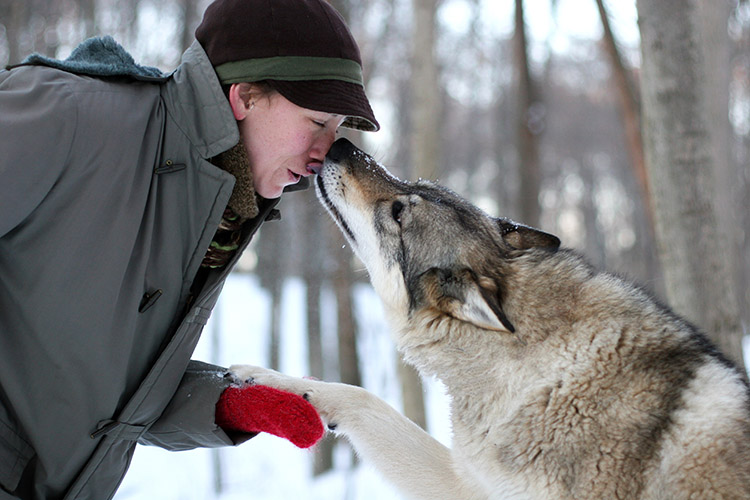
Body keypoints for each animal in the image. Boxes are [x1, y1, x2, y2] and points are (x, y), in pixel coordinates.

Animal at [235, 138, 750, 500]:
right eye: (411, 185)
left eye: (399, 211)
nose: (341, 143)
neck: (535, 374)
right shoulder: (469, 483)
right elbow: (362, 397)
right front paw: (266, 380)